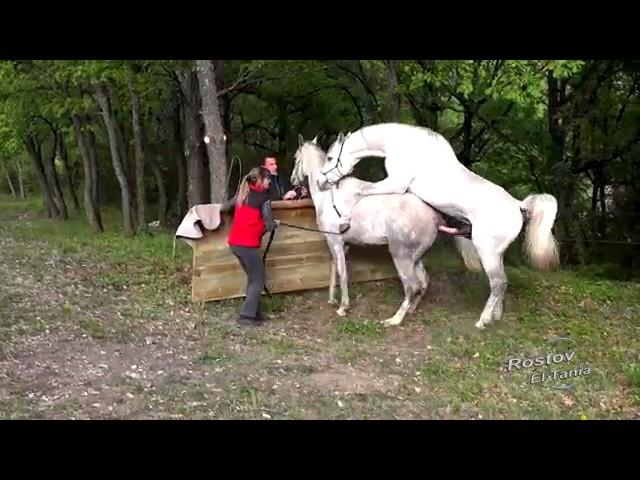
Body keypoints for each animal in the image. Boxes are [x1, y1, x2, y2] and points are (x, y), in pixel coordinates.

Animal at [318, 122, 556, 330]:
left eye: (330, 157)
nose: (321, 182)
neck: (401, 144)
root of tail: (519, 206)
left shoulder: (395, 184)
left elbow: (363, 190)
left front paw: (344, 217)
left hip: (487, 253)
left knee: (498, 283)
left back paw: (482, 321)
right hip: (497, 255)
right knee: (502, 284)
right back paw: (495, 316)